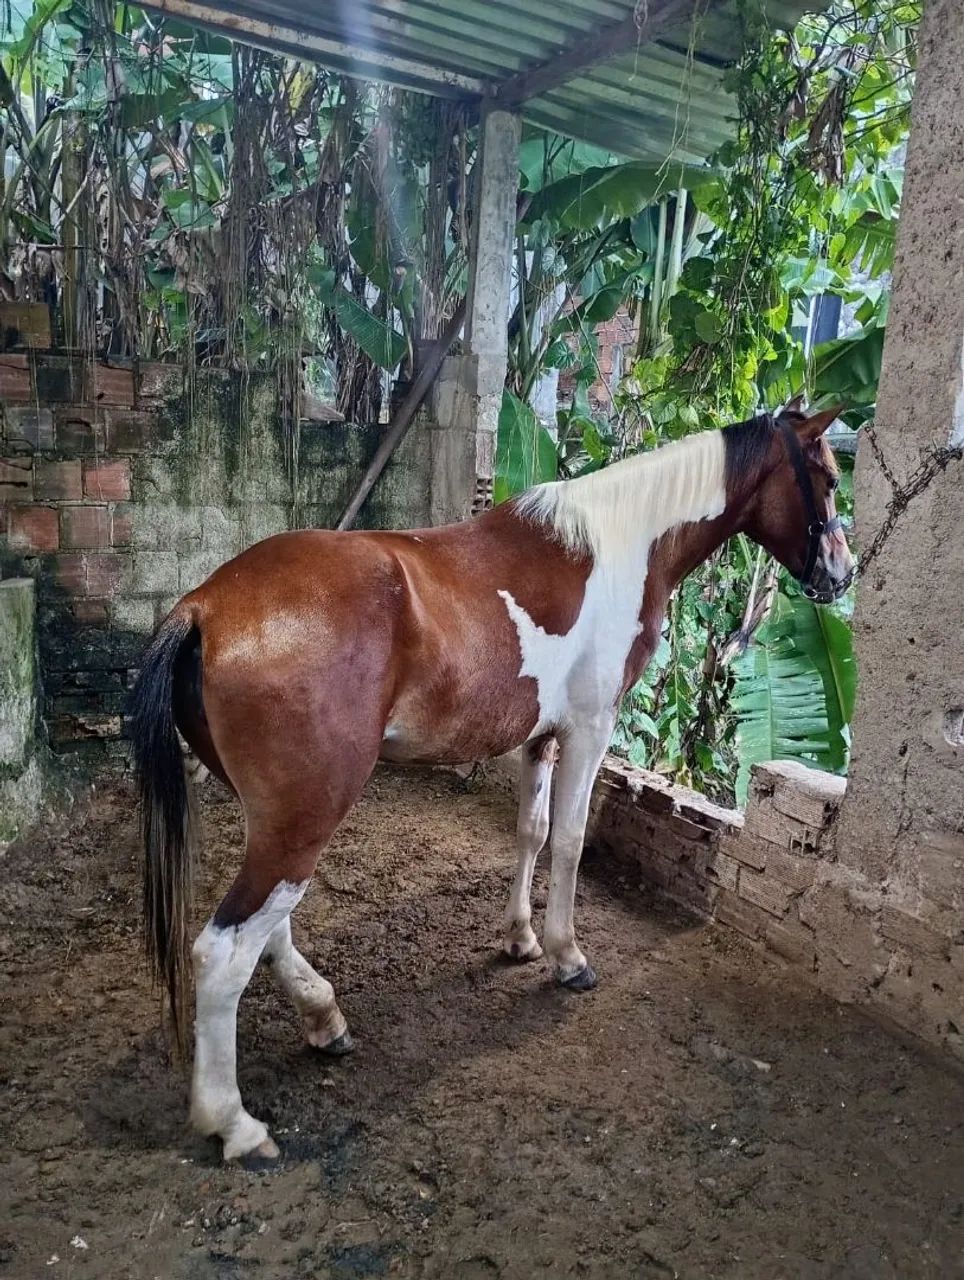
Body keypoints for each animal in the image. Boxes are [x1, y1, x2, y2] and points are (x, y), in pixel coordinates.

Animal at [130, 397, 854, 1164]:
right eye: (829, 480)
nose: (842, 573)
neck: (624, 542)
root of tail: (206, 606)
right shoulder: (590, 728)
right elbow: (569, 841)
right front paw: (567, 955)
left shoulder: (540, 736)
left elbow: (530, 832)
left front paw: (521, 939)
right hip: (306, 816)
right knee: (224, 950)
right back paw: (233, 1120)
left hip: (277, 816)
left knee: (269, 927)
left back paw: (323, 1016)